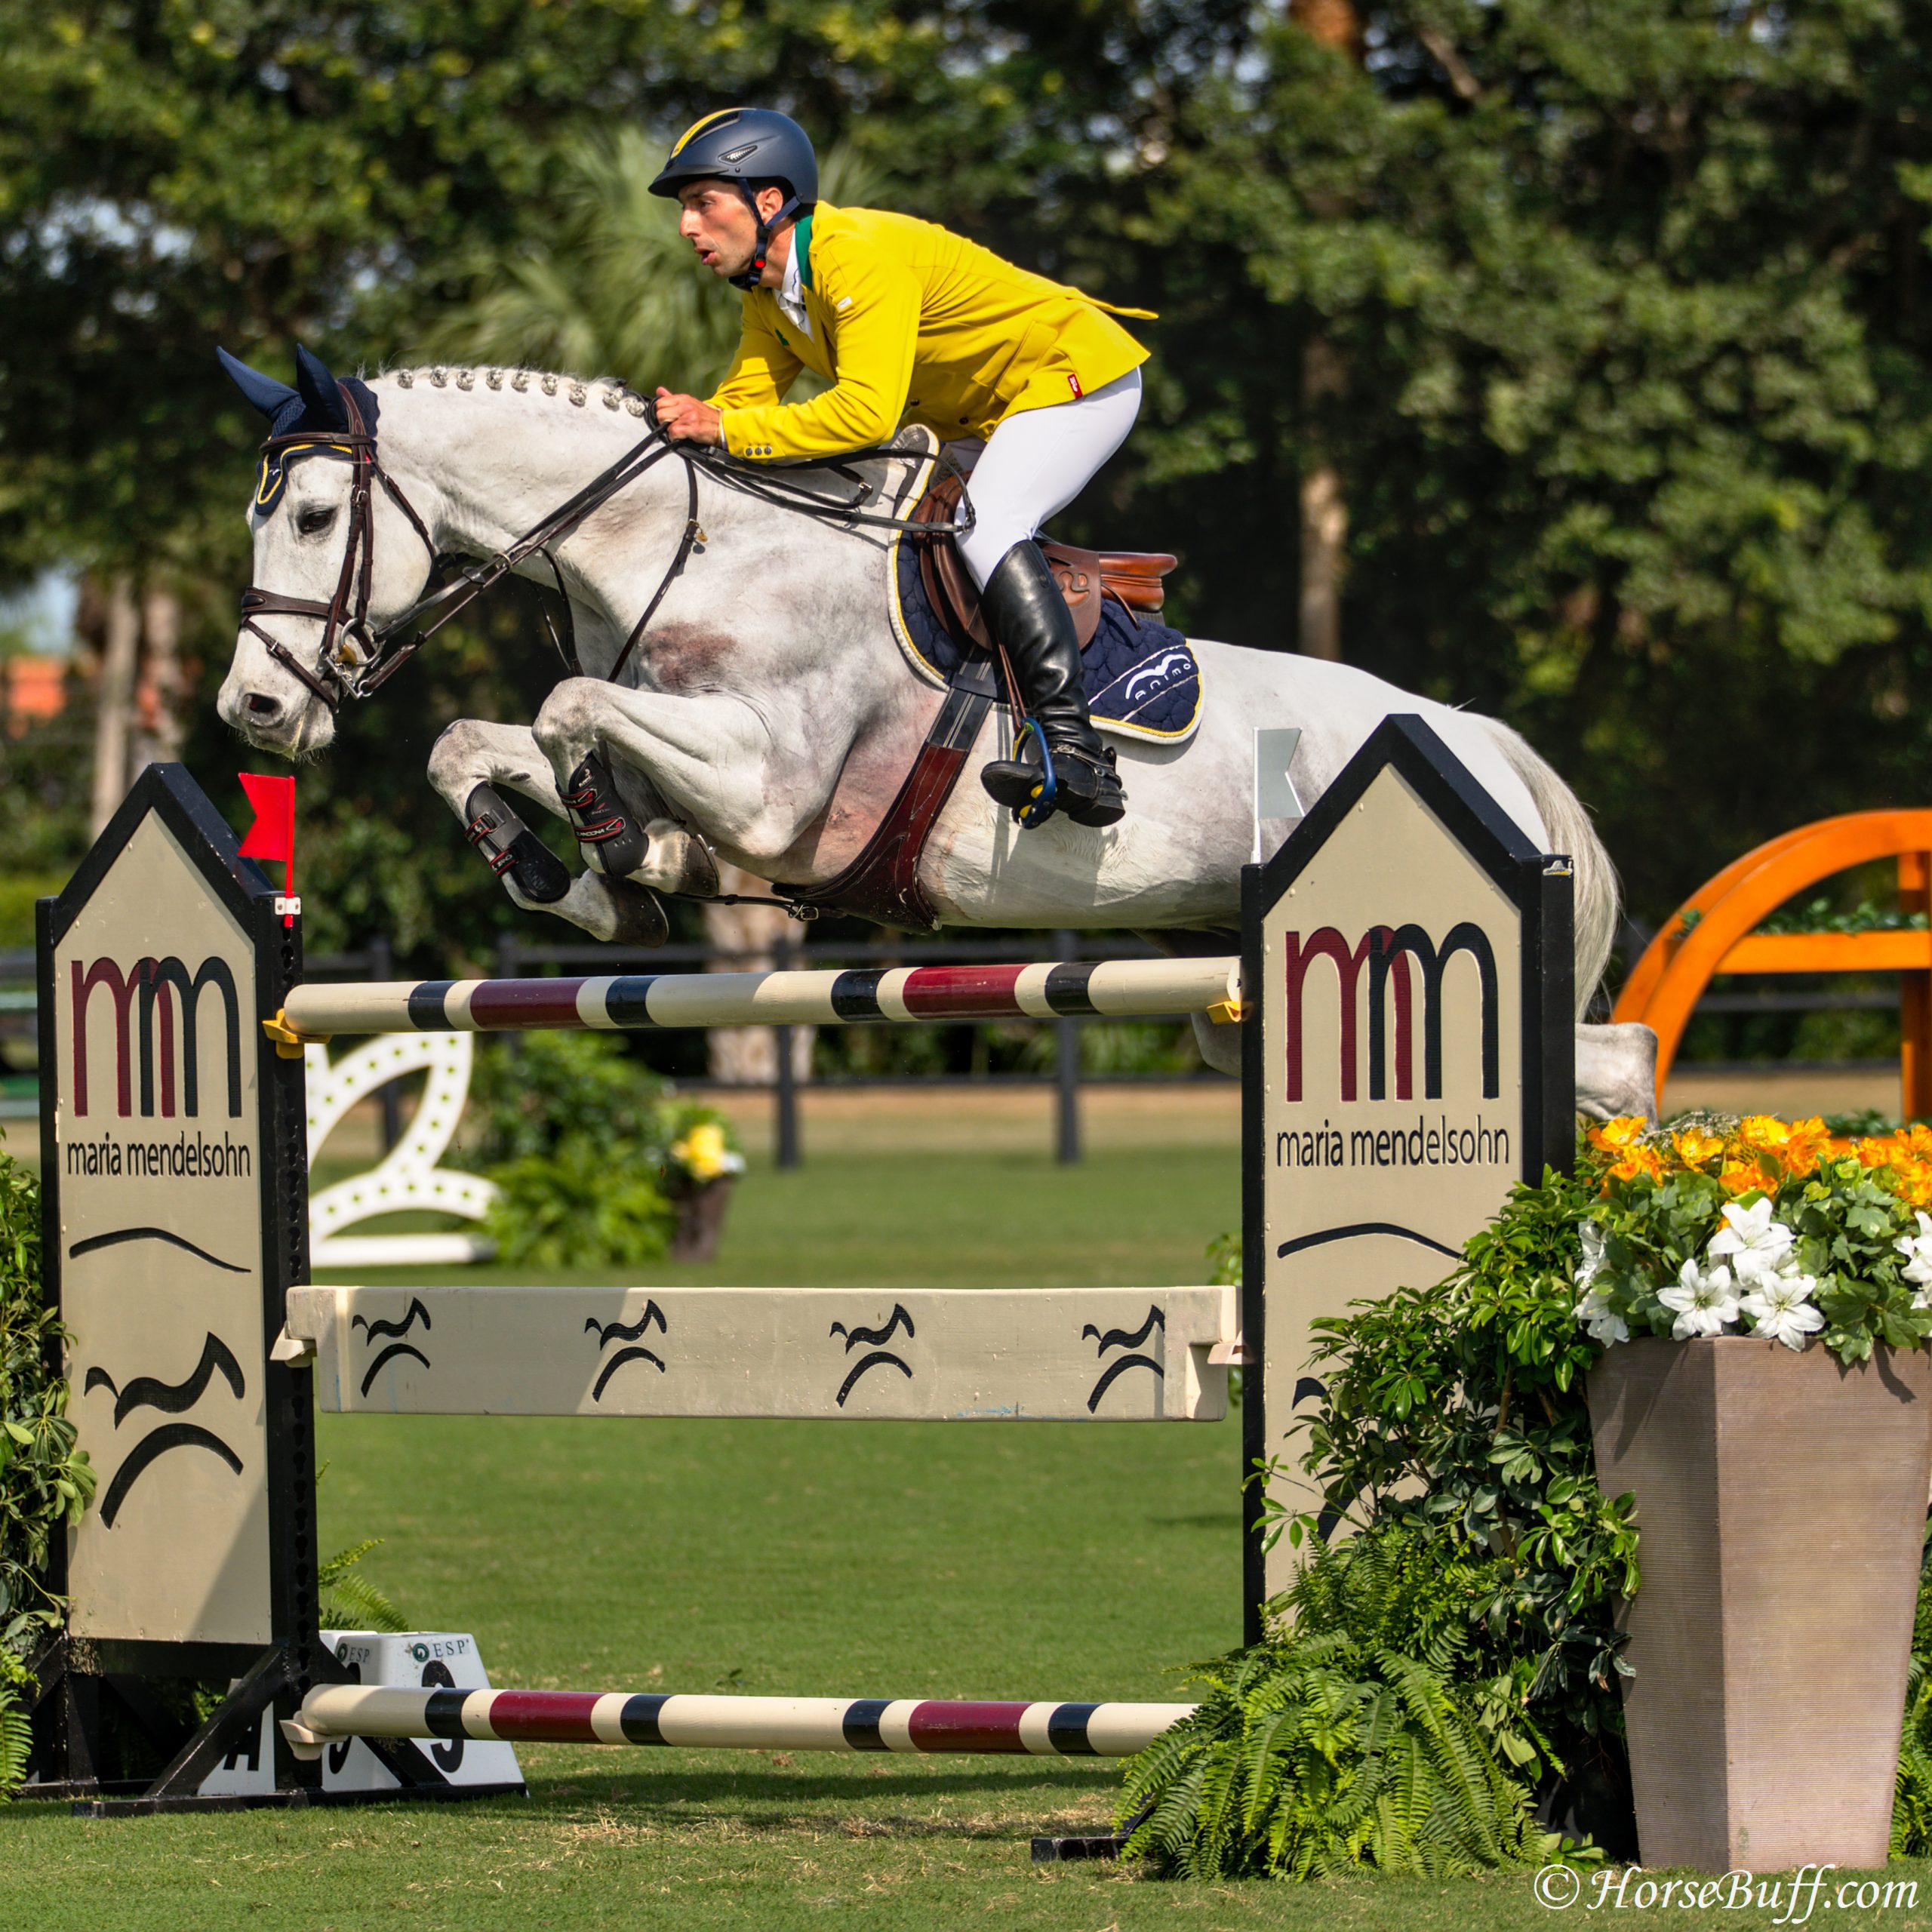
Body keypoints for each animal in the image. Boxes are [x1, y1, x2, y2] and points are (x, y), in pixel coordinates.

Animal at [215, 355, 1661, 1120]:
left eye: (312, 518)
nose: (254, 711)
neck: (686, 552)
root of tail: (1475, 739)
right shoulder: (701, 776)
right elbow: (474, 745)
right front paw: (573, 873)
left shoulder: (769, 789)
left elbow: (569, 720)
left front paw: (606, 849)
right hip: (1235, 1005)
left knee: (1623, 1069)